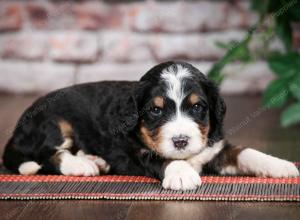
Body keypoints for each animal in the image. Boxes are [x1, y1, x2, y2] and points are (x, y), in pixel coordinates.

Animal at [2, 61, 298, 190]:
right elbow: (163, 159)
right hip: (52, 122)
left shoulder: (215, 149)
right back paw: (81, 165)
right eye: (155, 110)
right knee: (46, 155)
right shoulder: (138, 152)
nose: (181, 141)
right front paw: (182, 174)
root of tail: (16, 130)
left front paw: (282, 166)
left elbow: (247, 152)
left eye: (198, 107)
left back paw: (94, 160)